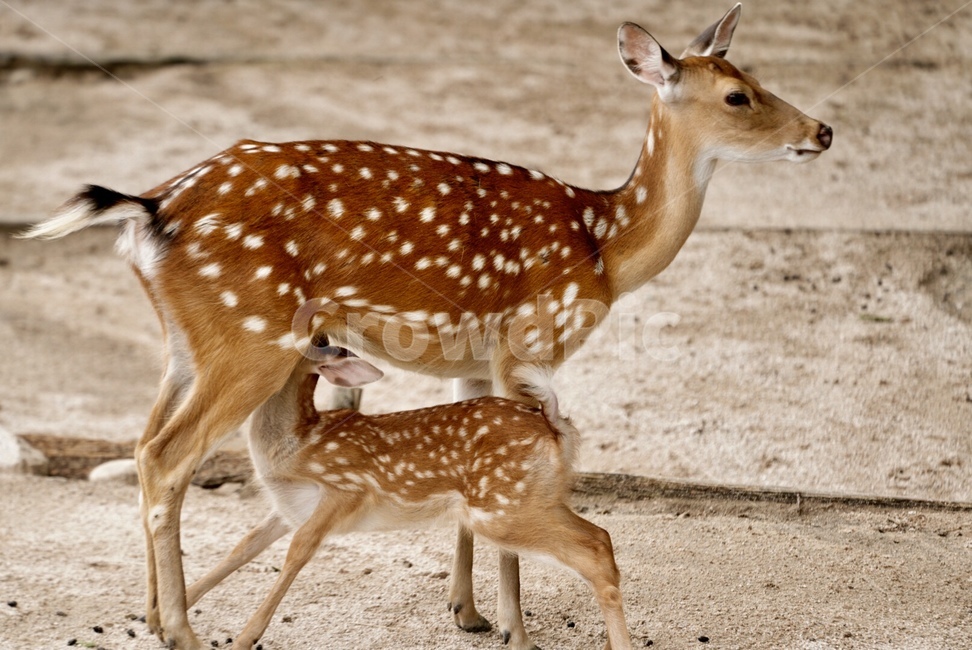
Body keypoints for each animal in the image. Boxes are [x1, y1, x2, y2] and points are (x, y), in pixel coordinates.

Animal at [184, 345, 631, 650]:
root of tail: (555, 425)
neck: (297, 445)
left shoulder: (347, 490)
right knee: (603, 537)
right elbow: (242, 547)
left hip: (503, 509)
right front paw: (172, 612)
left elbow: (297, 553)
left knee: (593, 549)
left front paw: (243, 638)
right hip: (535, 499)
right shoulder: (287, 508)